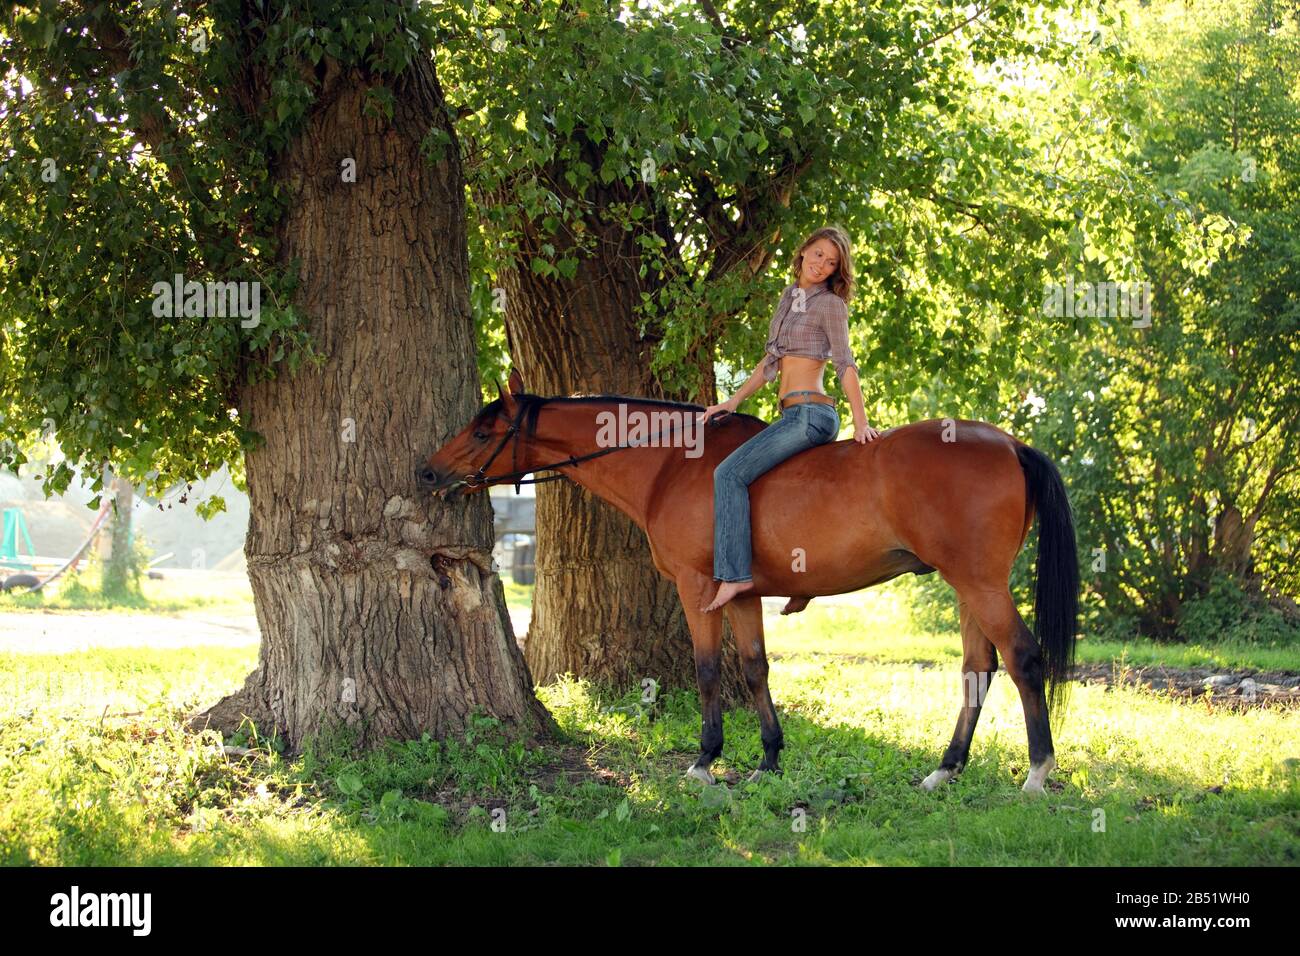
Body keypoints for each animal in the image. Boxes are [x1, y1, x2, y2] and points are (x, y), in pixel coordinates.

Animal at [418, 369, 1076, 796]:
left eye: (483, 432)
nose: (427, 472)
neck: (671, 463)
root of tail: (1009, 442)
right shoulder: (744, 596)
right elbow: (756, 668)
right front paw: (768, 760)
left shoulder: (697, 588)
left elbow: (709, 669)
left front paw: (705, 760)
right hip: (967, 588)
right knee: (977, 669)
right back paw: (945, 769)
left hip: (981, 583)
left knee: (1022, 658)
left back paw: (1037, 773)